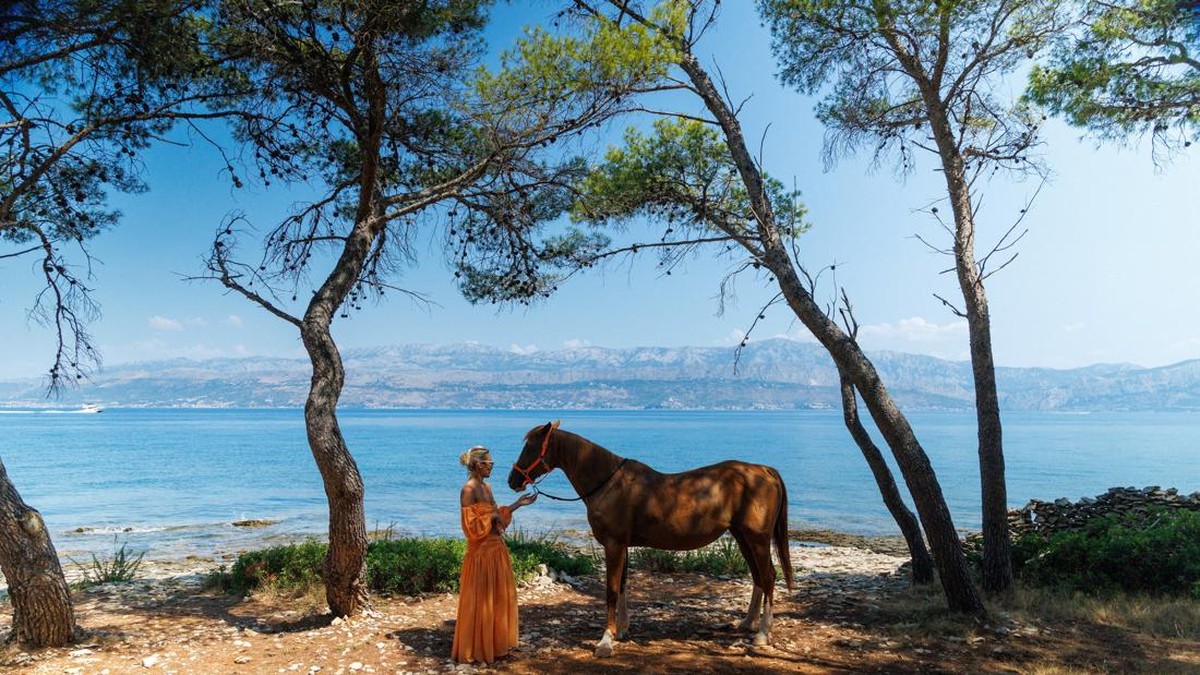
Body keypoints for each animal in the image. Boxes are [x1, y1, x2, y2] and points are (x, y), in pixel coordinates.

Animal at [507, 420, 794, 657]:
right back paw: (747, 623)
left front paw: (606, 640)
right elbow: (622, 585)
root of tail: (765, 471)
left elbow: (611, 590)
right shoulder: (621, 545)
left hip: (757, 539)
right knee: (758, 578)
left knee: (768, 577)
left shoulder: (613, 544)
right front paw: (622, 629)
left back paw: (762, 633)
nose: (513, 480)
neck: (608, 483)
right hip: (742, 537)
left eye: (531, 447)